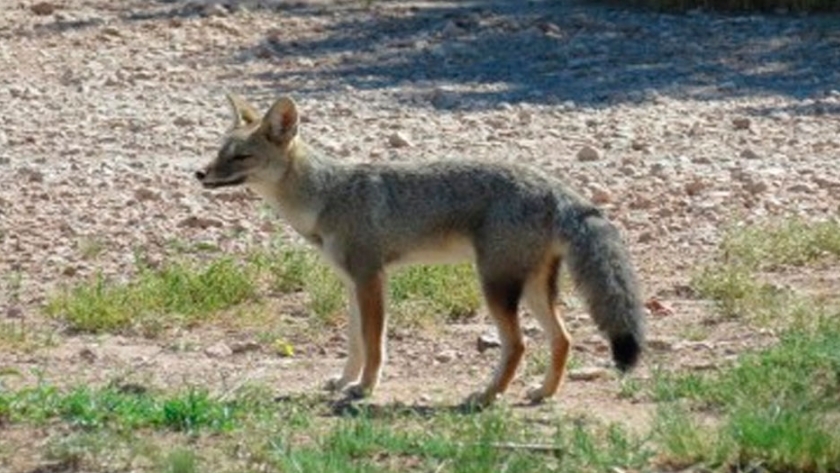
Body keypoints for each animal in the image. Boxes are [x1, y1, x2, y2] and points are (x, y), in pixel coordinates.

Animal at [195, 95, 644, 406]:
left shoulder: (371, 280)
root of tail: (556, 187)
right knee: (564, 339)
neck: (326, 195)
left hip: (495, 288)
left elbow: (374, 343)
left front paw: (365, 388)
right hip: (531, 289)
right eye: (218, 151)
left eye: (240, 156)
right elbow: (354, 342)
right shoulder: (353, 284)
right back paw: (542, 394)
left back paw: (486, 397)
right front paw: (344, 381)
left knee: (518, 345)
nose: (199, 173)